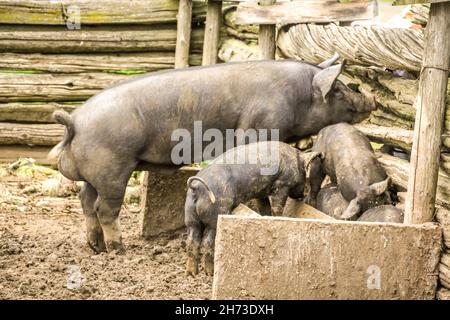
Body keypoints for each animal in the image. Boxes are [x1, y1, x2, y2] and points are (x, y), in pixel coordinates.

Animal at [49, 56, 374, 254]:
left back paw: (96, 247)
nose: (369, 99)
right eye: (338, 90)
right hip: (113, 169)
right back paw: (119, 249)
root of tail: (74, 121)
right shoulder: (259, 129)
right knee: (105, 208)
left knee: (86, 201)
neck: (299, 98)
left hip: (95, 176)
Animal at [183, 141, 310, 276]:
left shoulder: (261, 193)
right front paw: (280, 217)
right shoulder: (281, 185)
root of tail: (197, 187)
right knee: (207, 242)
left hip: (190, 216)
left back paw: (192, 273)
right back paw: (210, 273)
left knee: (192, 242)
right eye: (304, 175)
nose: (303, 195)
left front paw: (265, 217)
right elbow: (277, 206)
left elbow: (264, 207)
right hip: (216, 212)